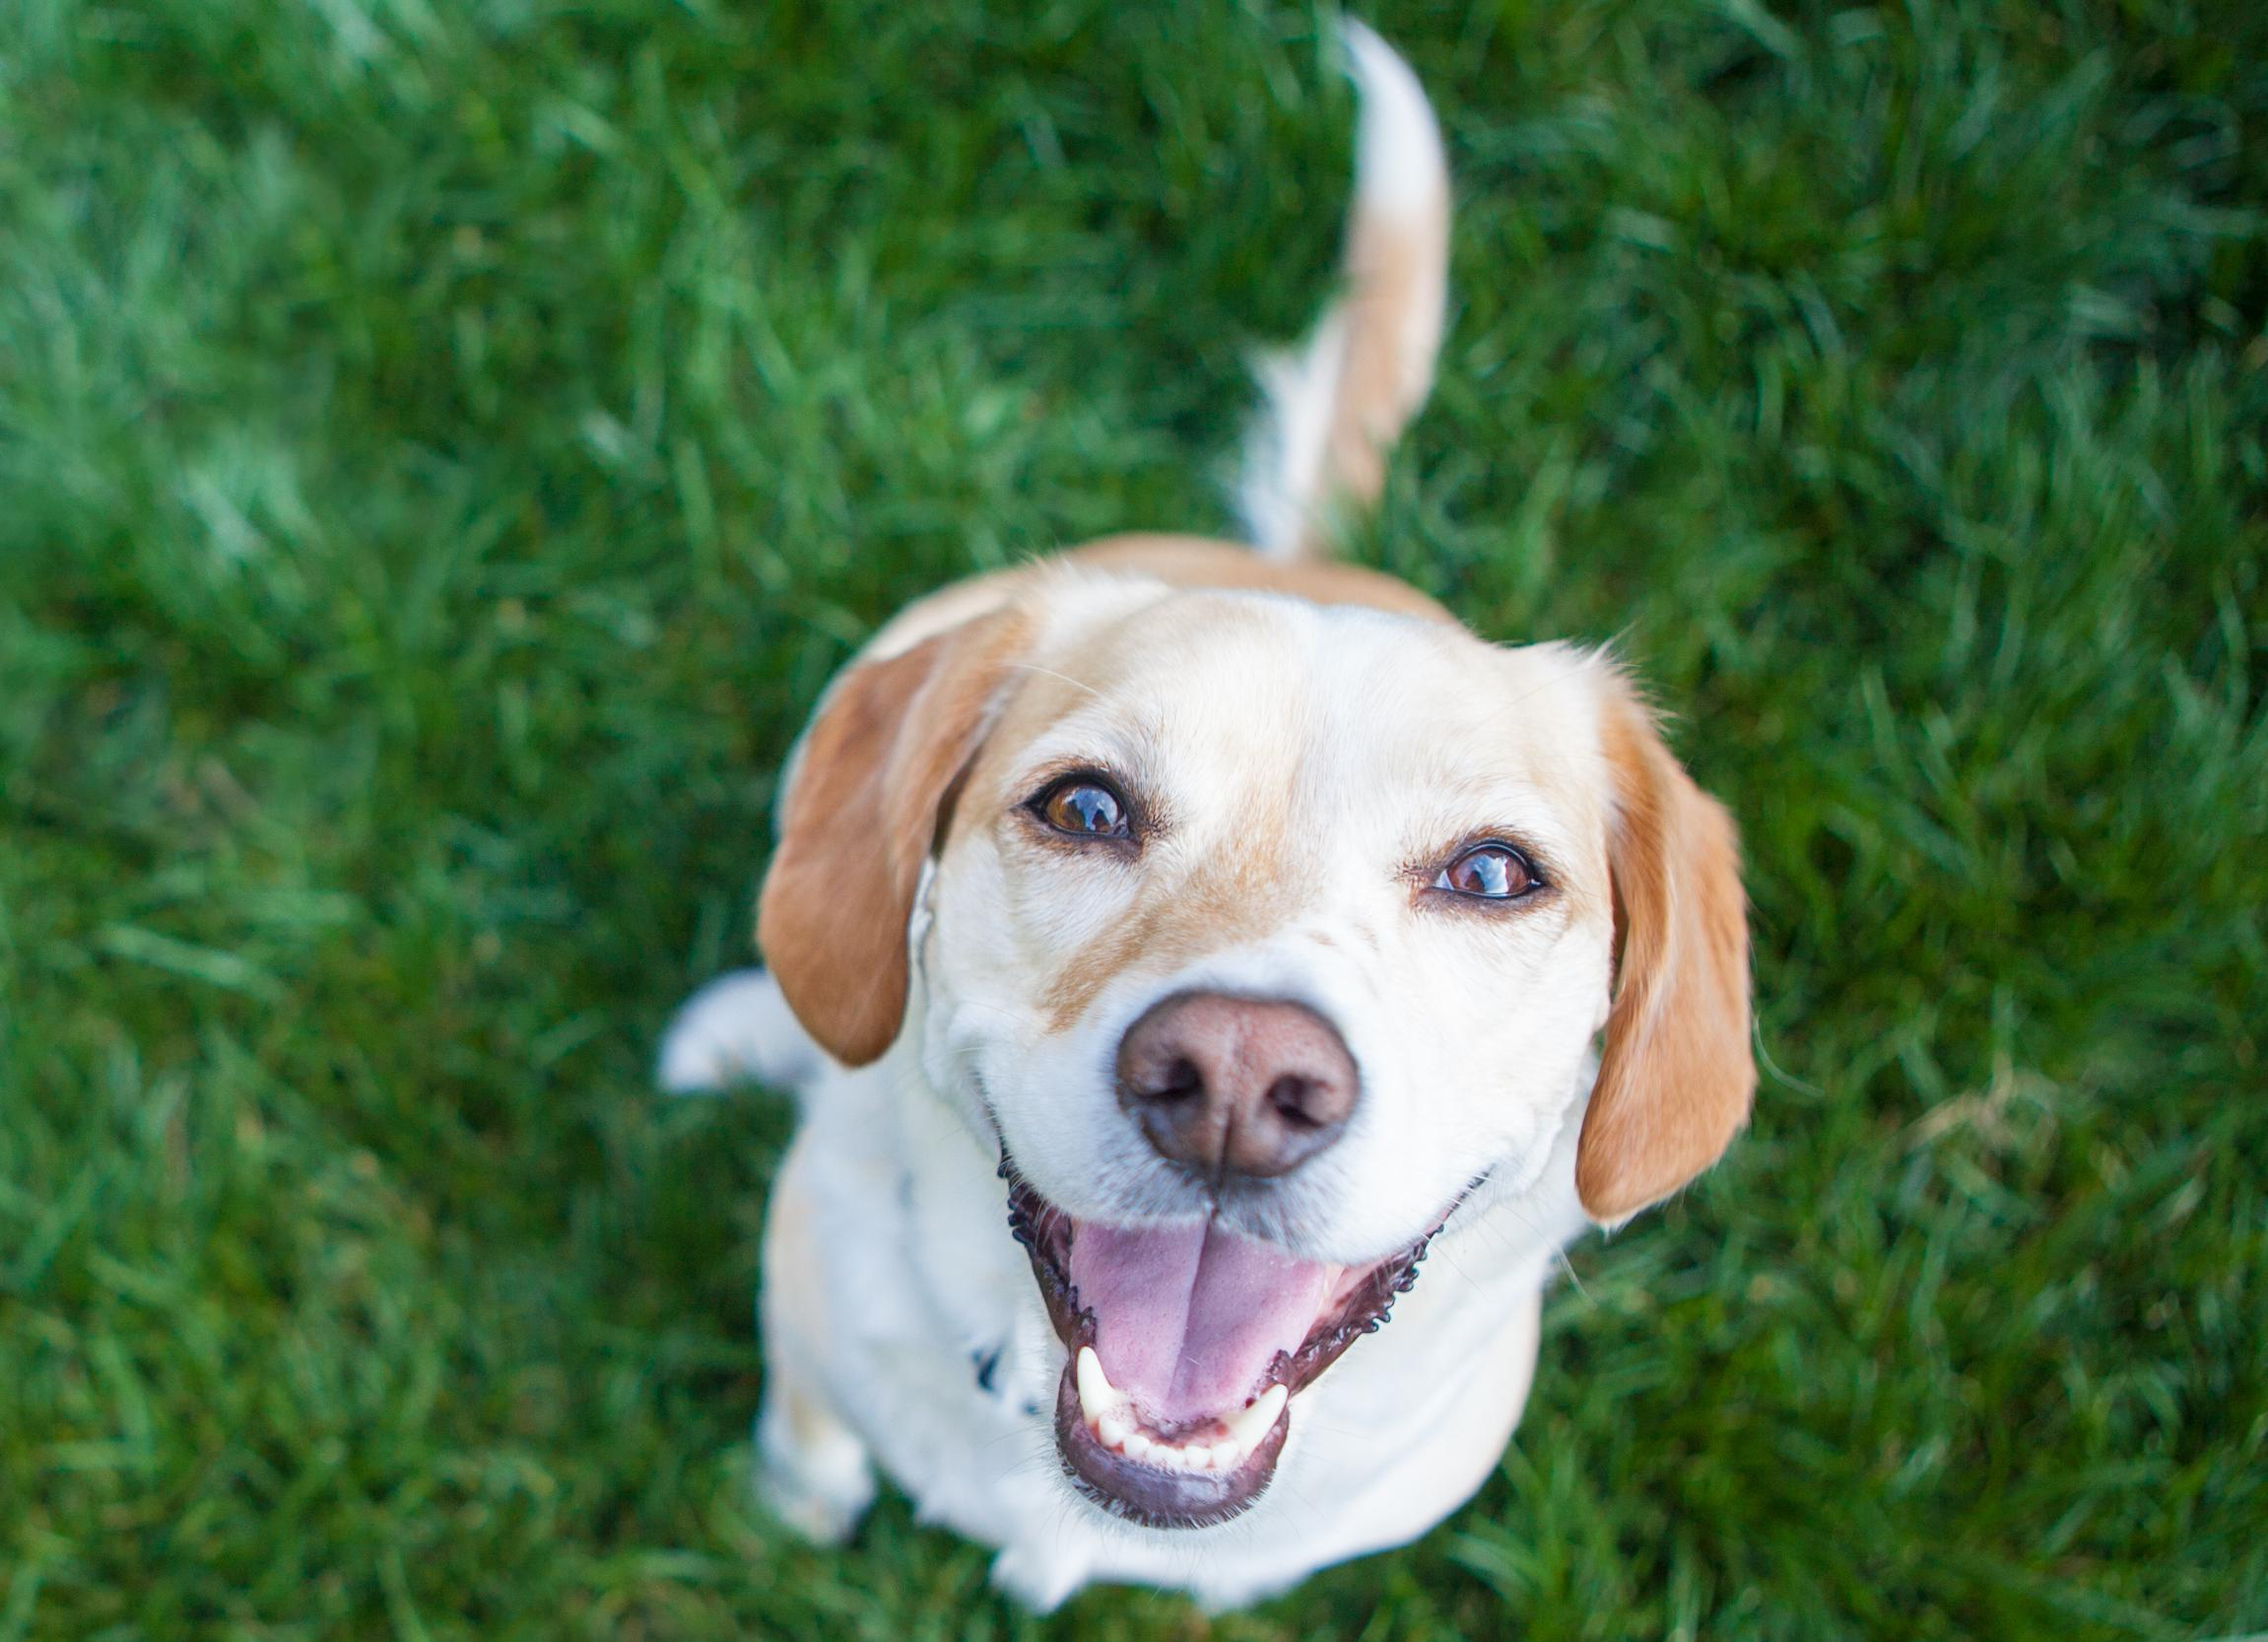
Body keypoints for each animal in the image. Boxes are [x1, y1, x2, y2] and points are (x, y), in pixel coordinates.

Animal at [657, 26, 1751, 1606]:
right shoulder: (807, 1333)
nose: (1236, 1079)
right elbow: (807, 1448)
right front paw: (787, 1512)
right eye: (1083, 803)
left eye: (1493, 873)